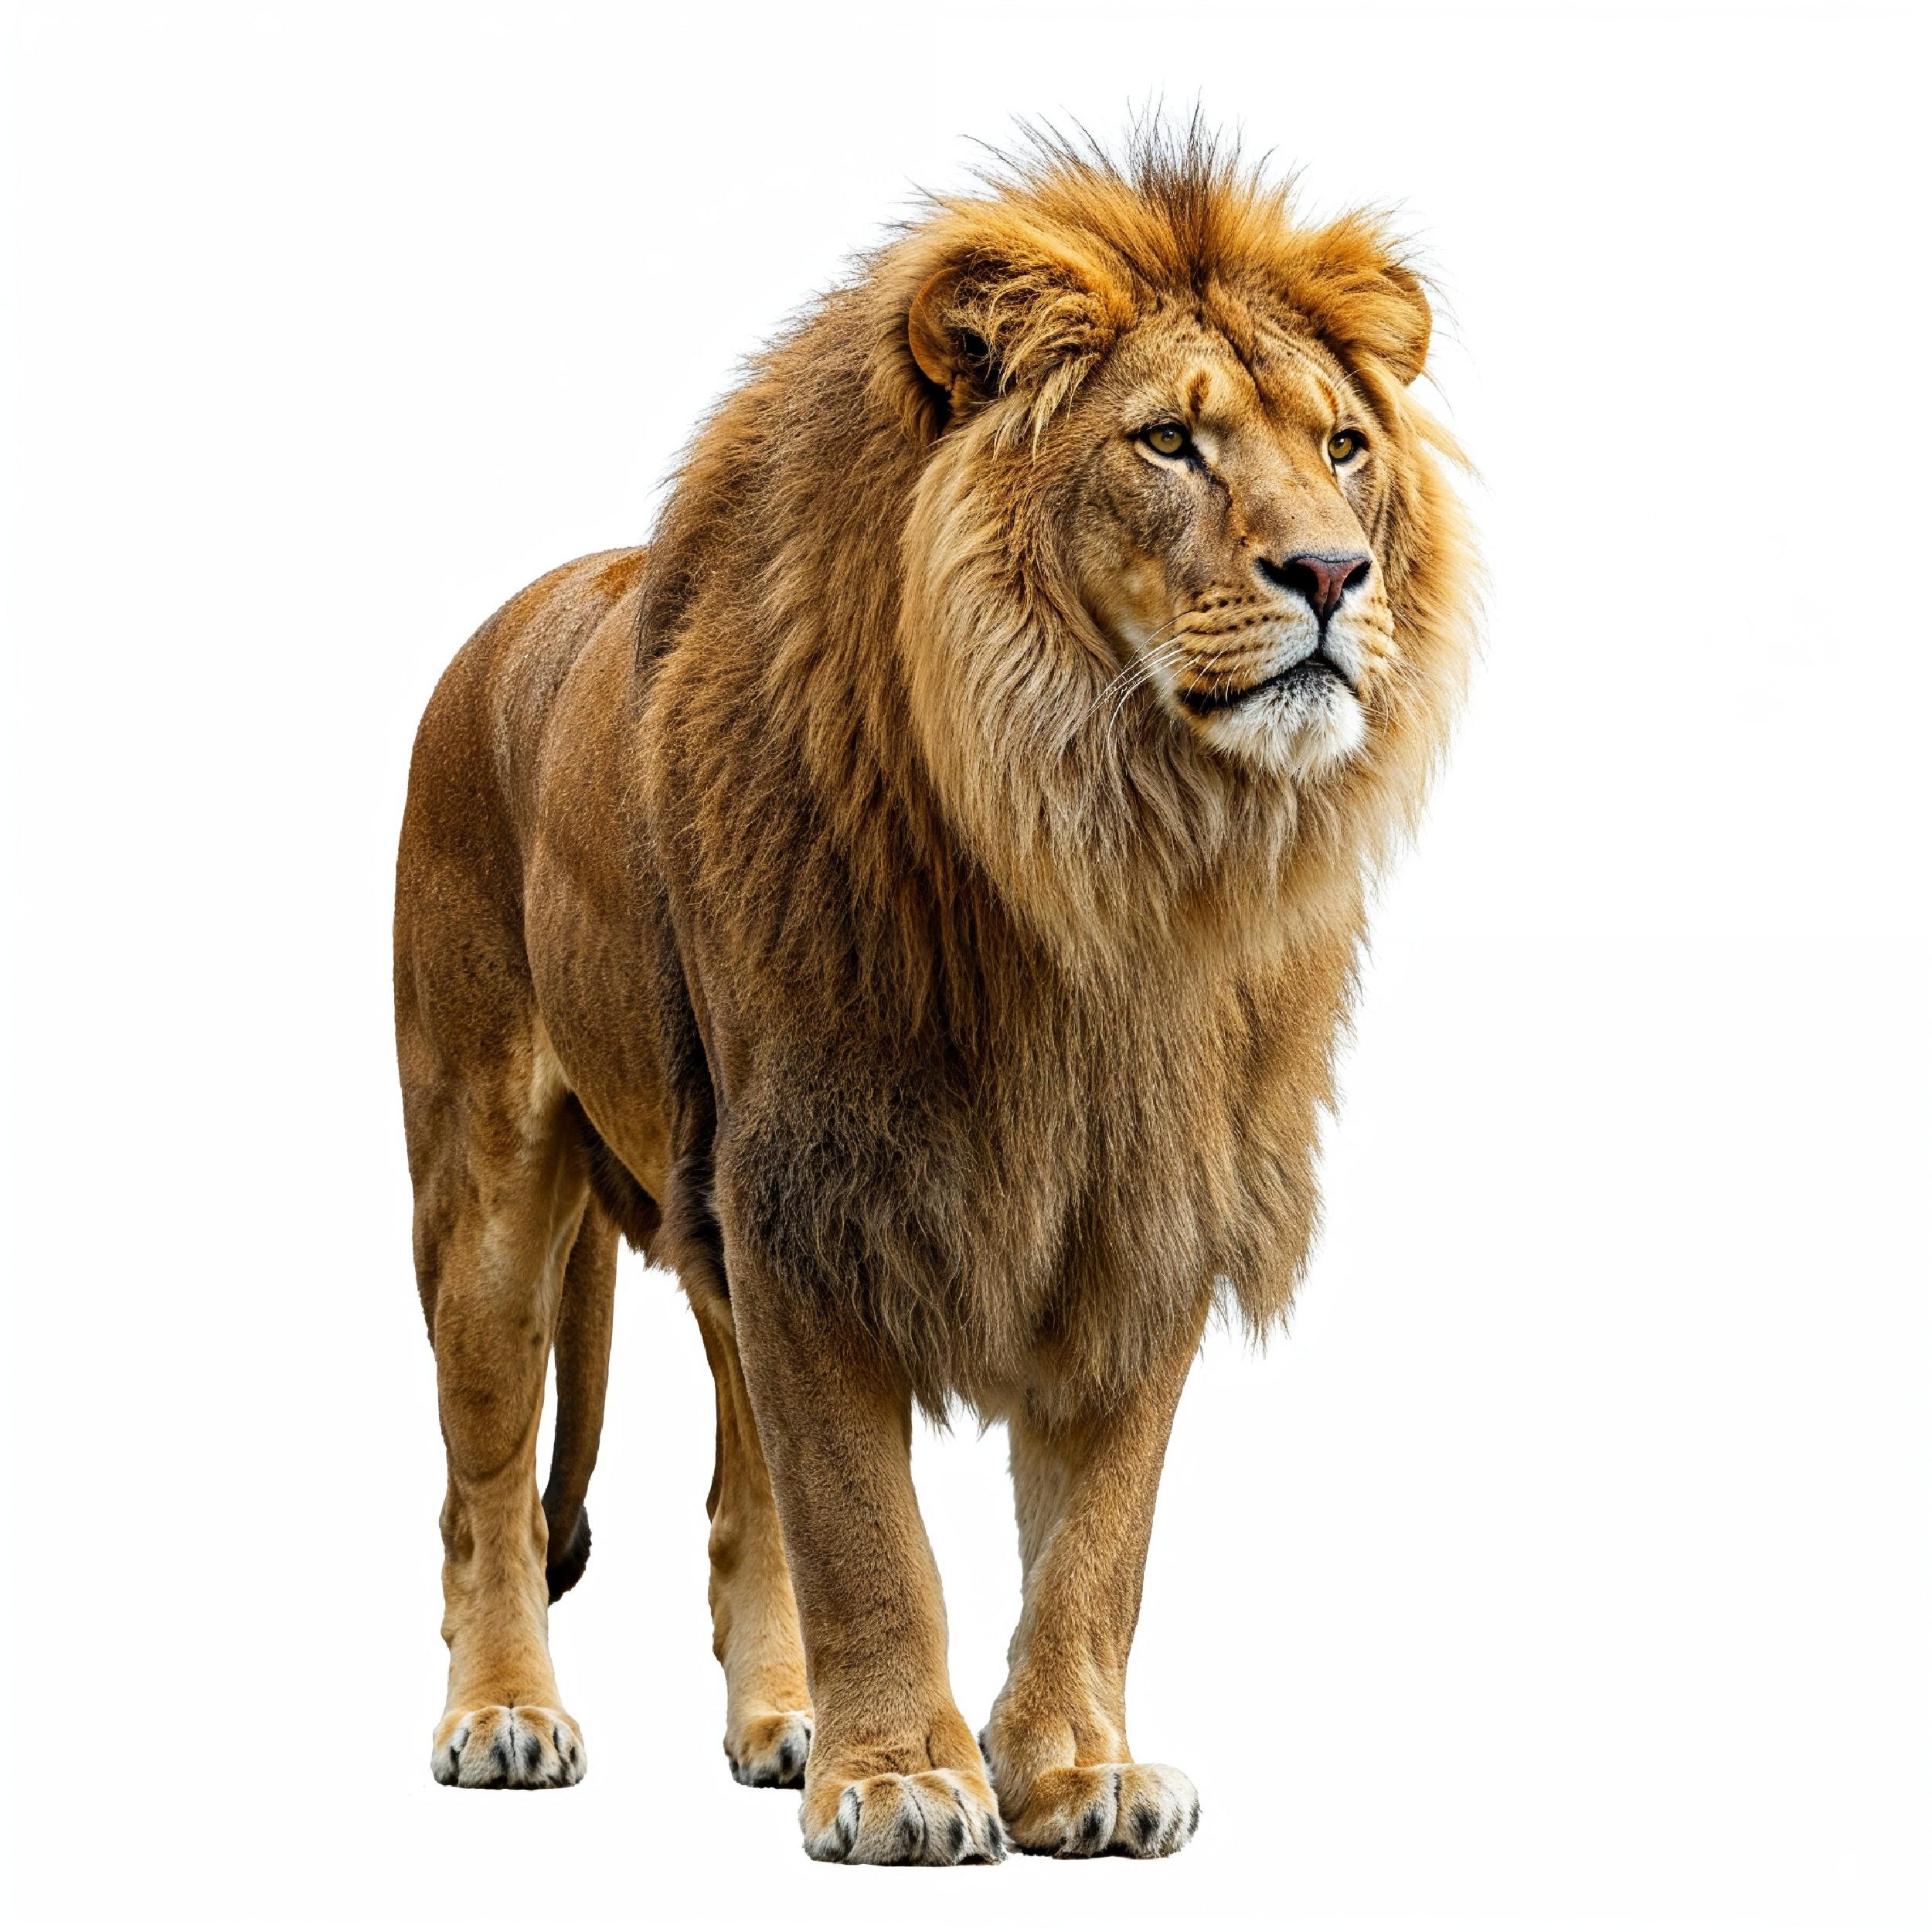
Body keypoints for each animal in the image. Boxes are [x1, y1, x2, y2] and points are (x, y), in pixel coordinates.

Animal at [393, 125, 1477, 1863]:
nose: (1332, 569)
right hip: (483, 1181)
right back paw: (502, 1715)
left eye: (1344, 445)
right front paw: (904, 1777)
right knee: (483, 1486)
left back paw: (780, 1720)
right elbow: (864, 1523)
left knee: (735, 1497)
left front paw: (1073, 1769)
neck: (1101, 850)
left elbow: (1098, 1531)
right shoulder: (809, 1183)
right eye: (1168, 441)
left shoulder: (1144, 1197)